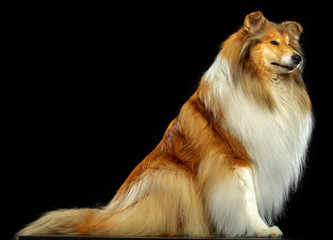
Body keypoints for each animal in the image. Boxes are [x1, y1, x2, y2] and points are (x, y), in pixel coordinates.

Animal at [17, 11, 312, 238]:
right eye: (273, 42)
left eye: (291, 44)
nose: (297, 58)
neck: (263, 88)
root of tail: (110, 212)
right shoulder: (236, 157)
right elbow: (247, 199)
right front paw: (262, 229)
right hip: (172, 175)